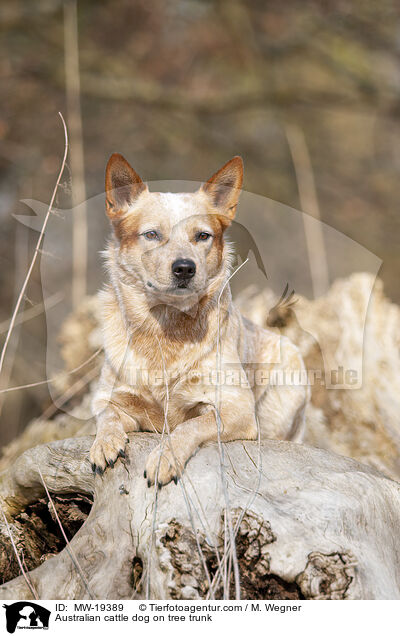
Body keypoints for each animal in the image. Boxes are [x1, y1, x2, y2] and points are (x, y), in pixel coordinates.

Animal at [90, 154, 310, 486]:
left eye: (202, 236)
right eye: (152, 234)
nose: (184, 268)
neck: (167, 329)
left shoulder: (236, 407)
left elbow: (191, 424)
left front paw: (165, 457)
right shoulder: (112, 397)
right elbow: (107, 414)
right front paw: (104, 443)